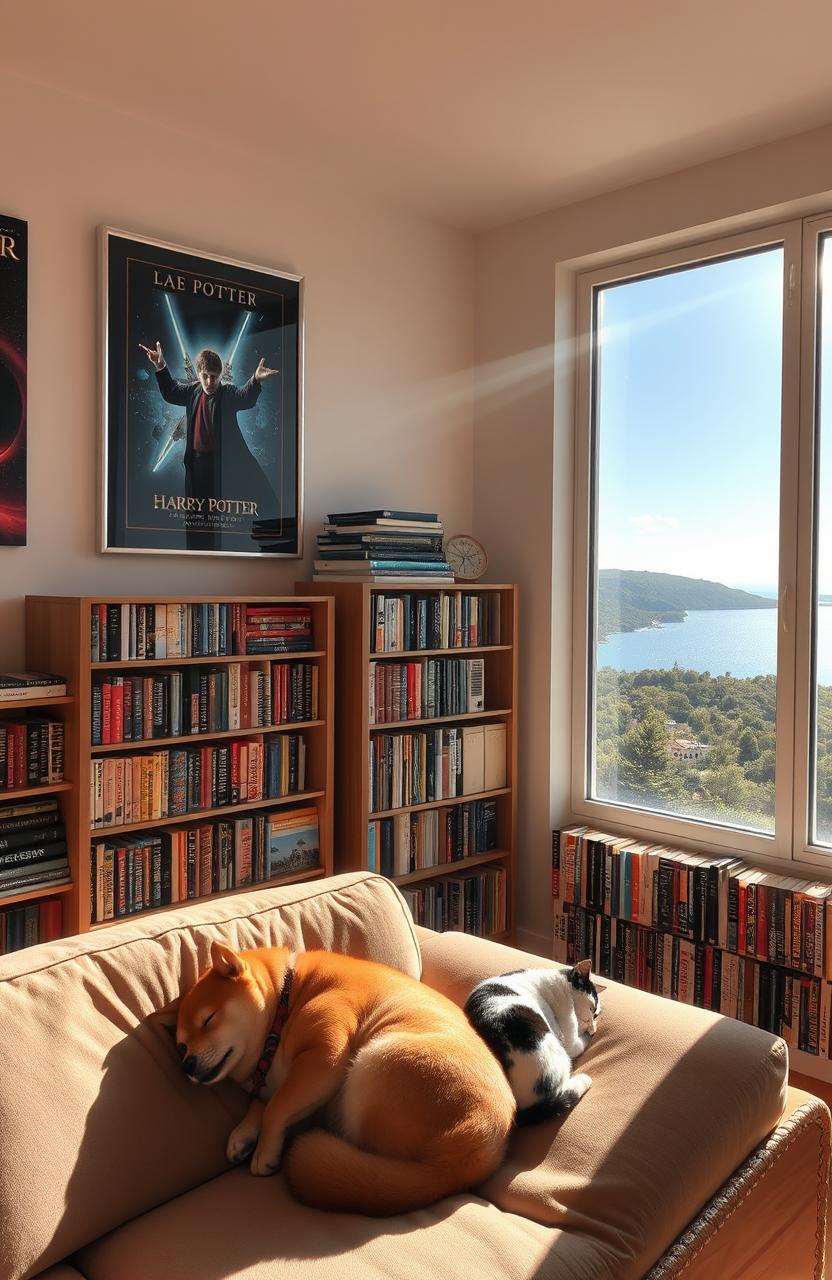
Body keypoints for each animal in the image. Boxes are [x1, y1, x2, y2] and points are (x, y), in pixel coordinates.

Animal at [151, 947, 509, 1213]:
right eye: (181, 1045)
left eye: (208, 1019)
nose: (187, 1065)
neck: (286, 999)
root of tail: (457, 1162)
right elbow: (263, 1104)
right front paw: (243, 1134)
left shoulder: (325, 1057)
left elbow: (275, 1109)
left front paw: (265, 1150)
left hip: (374, 1061)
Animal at [463, 962, 599, 1131]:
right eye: (592, 1008)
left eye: (596, 1013)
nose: (592, 1024)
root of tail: (519, 1112)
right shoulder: (568, 1026)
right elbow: (577, 1044)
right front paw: (589, 1033)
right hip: (560, 1058)